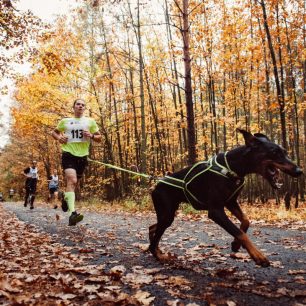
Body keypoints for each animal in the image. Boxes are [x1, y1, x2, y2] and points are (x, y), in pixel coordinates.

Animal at [149, 130, 304, 266]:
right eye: (274, 152)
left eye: (284, 152)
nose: (299, 171)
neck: (233, 167)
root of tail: (156, 186)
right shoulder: (216, 210)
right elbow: (239, 232)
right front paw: (258, 256)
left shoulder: (231, 201)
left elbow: (246, 221)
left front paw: (235, 244)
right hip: (167, 213)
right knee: (156, 235)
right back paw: (159, 255)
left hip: (167, 214)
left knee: (152, 228)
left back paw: (157, 248)